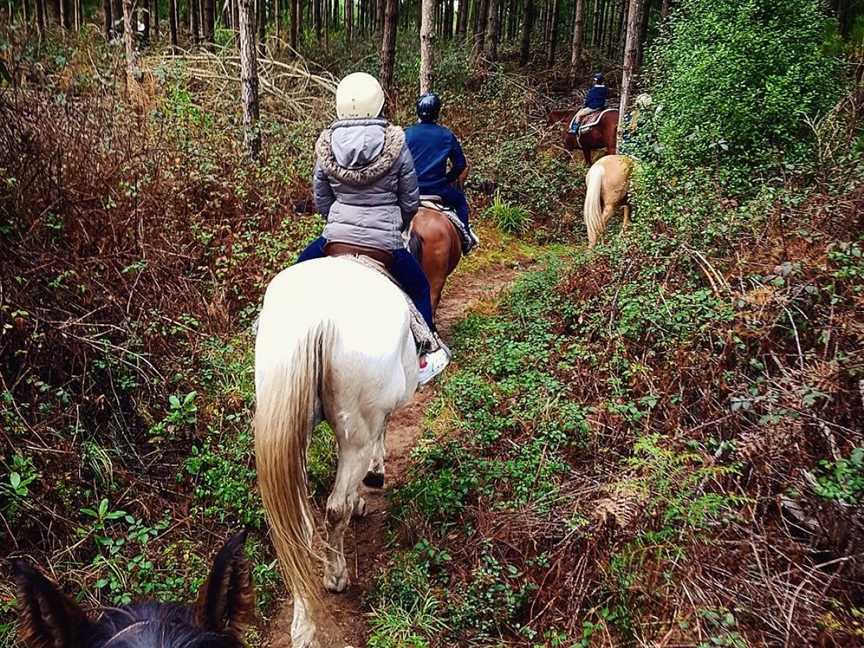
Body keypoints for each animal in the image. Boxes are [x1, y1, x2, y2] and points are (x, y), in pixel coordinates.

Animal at [253, 256, 422, 644]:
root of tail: (317, 320)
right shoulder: (373, 420)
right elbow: (381, 434)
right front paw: (373, 477)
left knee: (299, 525)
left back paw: (303, 627)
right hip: (355, 429)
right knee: (335, 507)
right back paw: (336, 575)